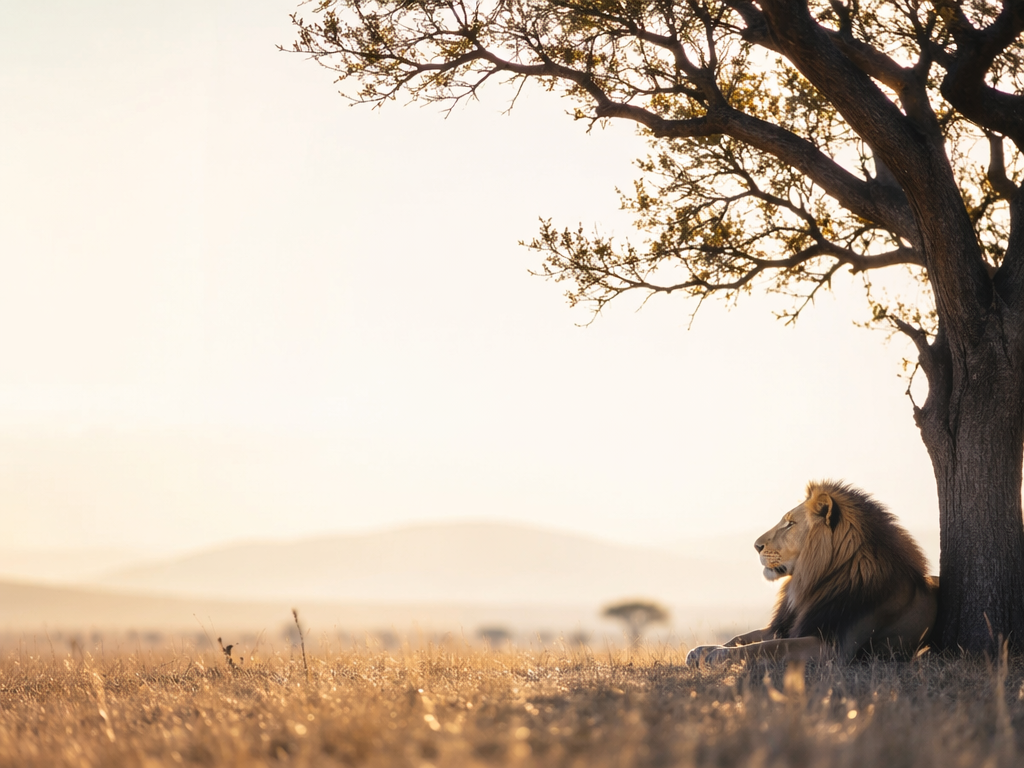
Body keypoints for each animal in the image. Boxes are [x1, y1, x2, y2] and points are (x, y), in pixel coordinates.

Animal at [686, 480, 938, 665]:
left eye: (790, 524)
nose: (756, 546)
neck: (813, 582)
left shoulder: (833, 647)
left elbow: (770, 646)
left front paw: (718, 654)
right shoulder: (788, 626)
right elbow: (744, 637)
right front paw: (702, 650)